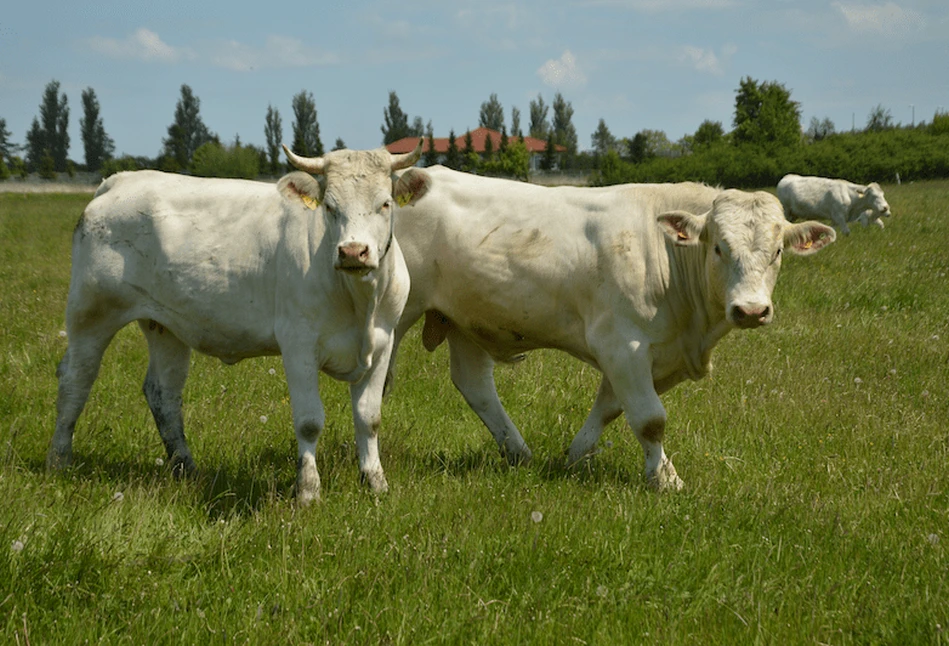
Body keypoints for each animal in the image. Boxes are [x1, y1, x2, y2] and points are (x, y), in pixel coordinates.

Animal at [49, 143, 434, 506]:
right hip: (91, 312)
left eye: (385, 204)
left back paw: (186, 467)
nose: (353, 252)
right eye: (329, 207)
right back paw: (59, 459)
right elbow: (309, 421)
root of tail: (121, 180)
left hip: (165, 325)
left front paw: (375, 483)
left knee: (163, 392)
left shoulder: (382, 343)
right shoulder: (298, 344)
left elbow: (369, 417)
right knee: (76, 379)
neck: (359, 300)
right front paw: (308, 491)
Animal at [388, 171, 832, 492]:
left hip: (467, 319)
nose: (751, 310)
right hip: (400, 310)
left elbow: (611, 407)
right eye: (719, 248)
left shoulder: (646, 355)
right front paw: (664, 479)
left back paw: (519, 453)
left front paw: (577, 456)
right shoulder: (623, 345)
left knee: (475, 383)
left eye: (777, 251)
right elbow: (650, 418)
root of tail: (417, 176)